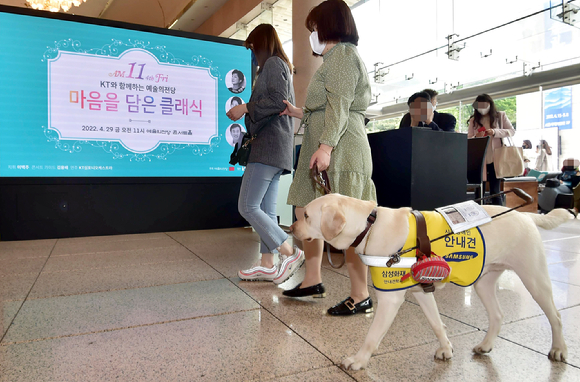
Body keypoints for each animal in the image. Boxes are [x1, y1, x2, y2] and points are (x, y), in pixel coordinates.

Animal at [290, 194, 572, 370]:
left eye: (306, 216)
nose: (291, 229)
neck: (369, 226)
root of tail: (527, 216)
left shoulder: (391, 298)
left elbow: (372, 335)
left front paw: (358, 361)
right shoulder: (422, 292)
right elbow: (437, 324)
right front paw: (446, 348)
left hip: (534, 278)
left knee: (556, 316)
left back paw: (559, 349)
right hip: (483, 282)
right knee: (498, 315)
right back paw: (486, 345)